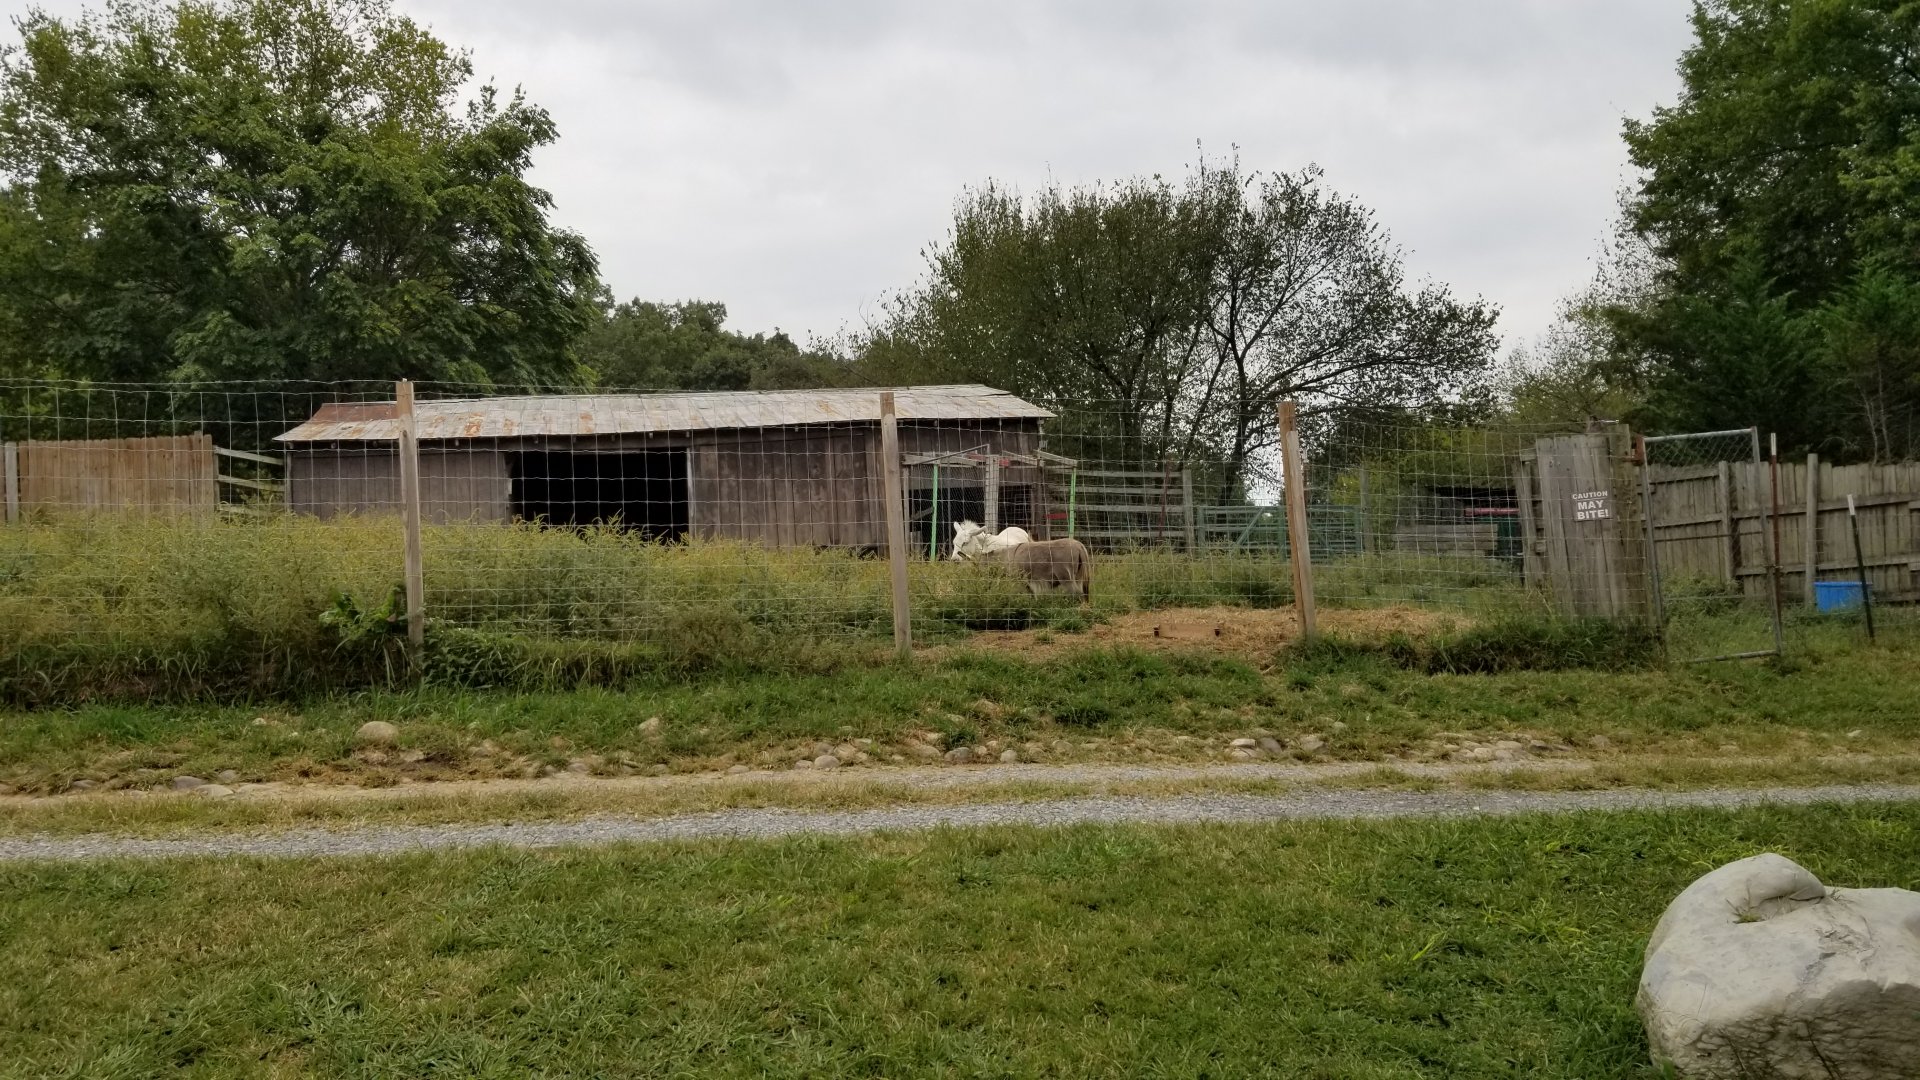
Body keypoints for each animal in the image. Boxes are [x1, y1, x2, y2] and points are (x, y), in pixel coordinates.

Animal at [949, 520, 1093, 601]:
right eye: (953, 543)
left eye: (965, 542)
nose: (954, 560)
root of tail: (1080, 546)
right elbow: (1031, 597)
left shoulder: (1019, 581)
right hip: (1082, 579)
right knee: (1084, 597)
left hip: (1067, 578)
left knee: (1077, 595)